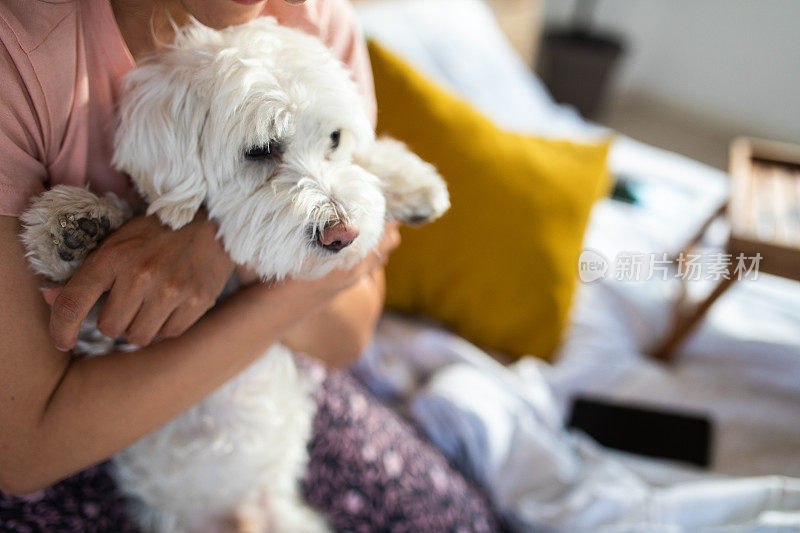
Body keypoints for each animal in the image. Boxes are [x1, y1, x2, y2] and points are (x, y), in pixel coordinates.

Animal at [18, 16, 446, 532]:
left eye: (334, 138)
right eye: (260, 149)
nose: (343, 234)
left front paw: (408, 179)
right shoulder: (115, 332)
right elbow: (88, 311)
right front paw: (70, 229)